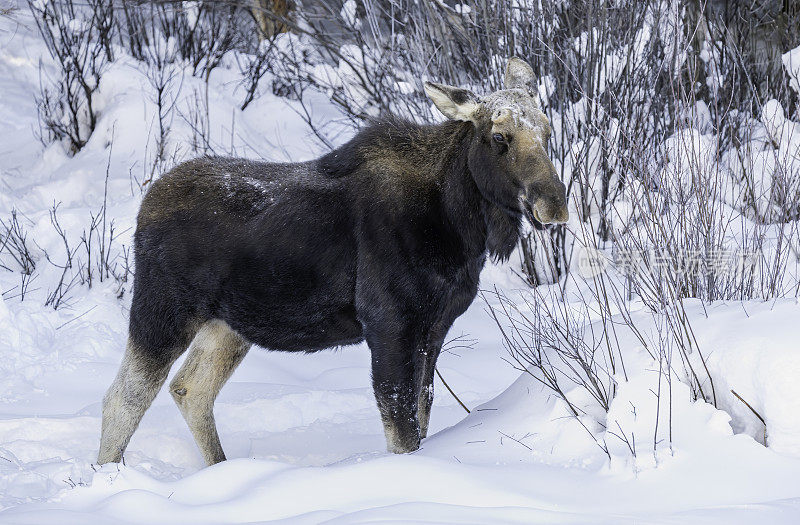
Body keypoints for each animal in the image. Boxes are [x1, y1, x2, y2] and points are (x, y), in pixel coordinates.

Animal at [97, 58, 568, 466]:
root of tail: (145, 206)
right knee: (123, 398)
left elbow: (421, 415)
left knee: (189, 388)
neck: (458, 224)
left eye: (548, 131)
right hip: (163, 310)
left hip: (226, 325)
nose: (554, 203)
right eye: (499, 136)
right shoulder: (389, 322)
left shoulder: (435, 327)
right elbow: (402, 431)